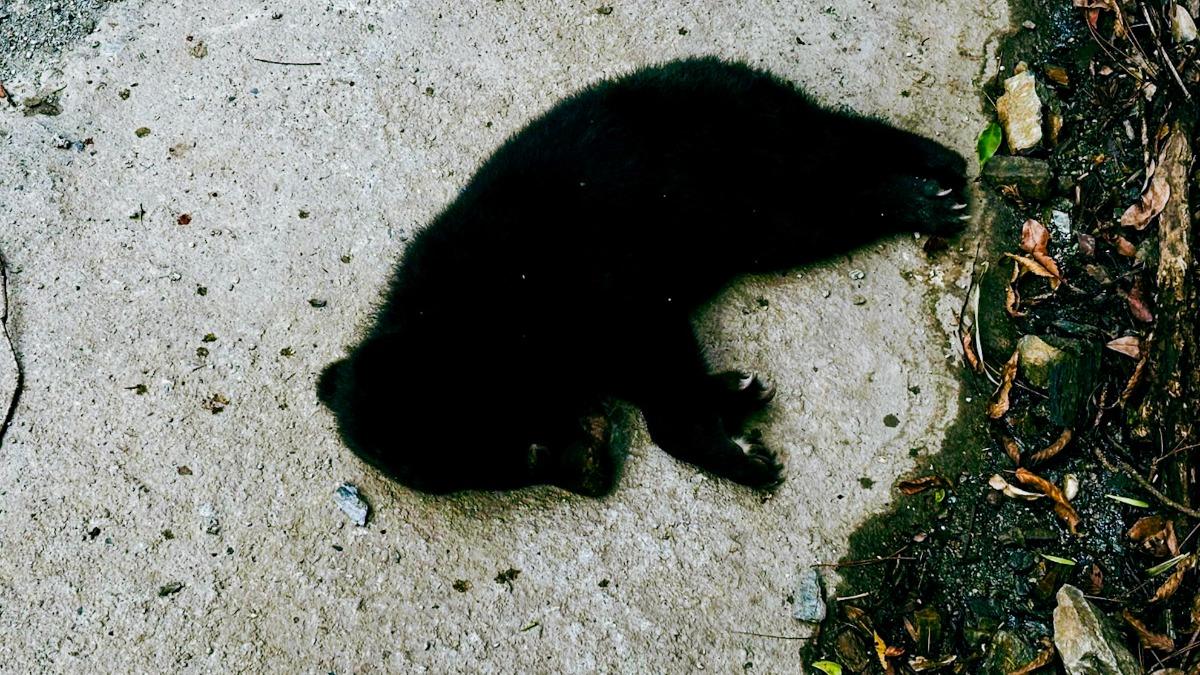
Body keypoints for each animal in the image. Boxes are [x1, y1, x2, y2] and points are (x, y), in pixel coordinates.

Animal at [318, 56, 968, 497]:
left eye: (527, 451)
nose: (596, 478)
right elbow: (652, 376)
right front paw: (736, 397)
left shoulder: (601, 288)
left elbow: (655, 357)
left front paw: (740, 453)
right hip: (754, 213)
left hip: (744, 148)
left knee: (837, 151)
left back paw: (935, 178)